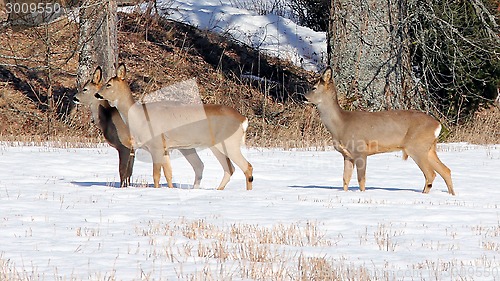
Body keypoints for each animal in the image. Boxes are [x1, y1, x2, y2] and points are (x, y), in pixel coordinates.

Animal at [73, 66, 205, 188]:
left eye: (84, 89)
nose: (74, 98)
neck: (108, 118)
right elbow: (129, 172)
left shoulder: (124, 146)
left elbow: (123, 171)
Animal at [93, 63, 254, 189]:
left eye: (108, 84)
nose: (97, 94)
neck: (139, 117)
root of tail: (243, 119)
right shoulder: (165, 148)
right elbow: (168, 173)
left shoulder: (156, 145)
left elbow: (156, 175)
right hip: (217, 145)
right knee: (229, 169)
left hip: (229, 142)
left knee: (247, 167)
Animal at [302, 67, 456, 195]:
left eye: (314, 87)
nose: (303, 97)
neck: (341, 125)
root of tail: (437, 125)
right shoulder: (347, 155)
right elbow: (345, 179)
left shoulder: (360, 150)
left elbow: (361, 180)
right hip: (429, 148)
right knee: (446, 170)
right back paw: (451, 195)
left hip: (416, 146)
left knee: (431, 174)